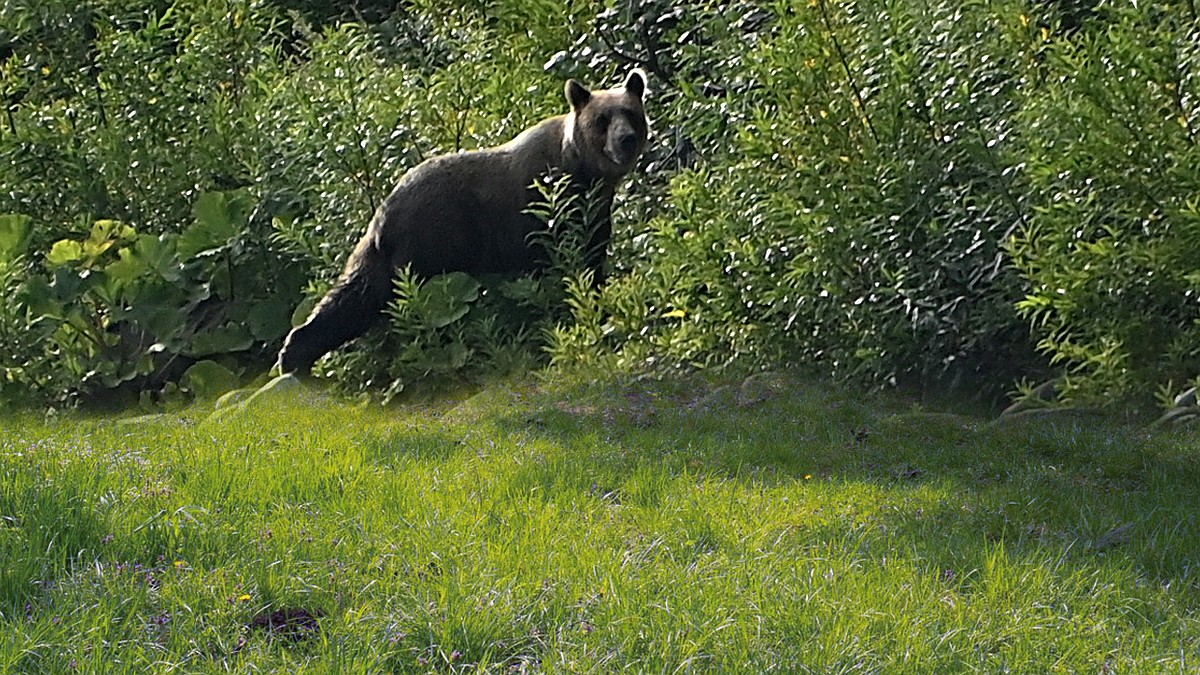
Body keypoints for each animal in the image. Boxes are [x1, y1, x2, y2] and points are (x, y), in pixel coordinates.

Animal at [274, 68, 648, 372]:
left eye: (630, 113)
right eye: (602, 120)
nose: (625, 139)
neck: (583, 170)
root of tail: (384, 211)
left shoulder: (594, 211)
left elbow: (591, 259)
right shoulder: (543, 206)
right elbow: (560, 262)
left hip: (390, 253)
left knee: (357, 294)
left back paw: (295, 350)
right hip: (433, 241)